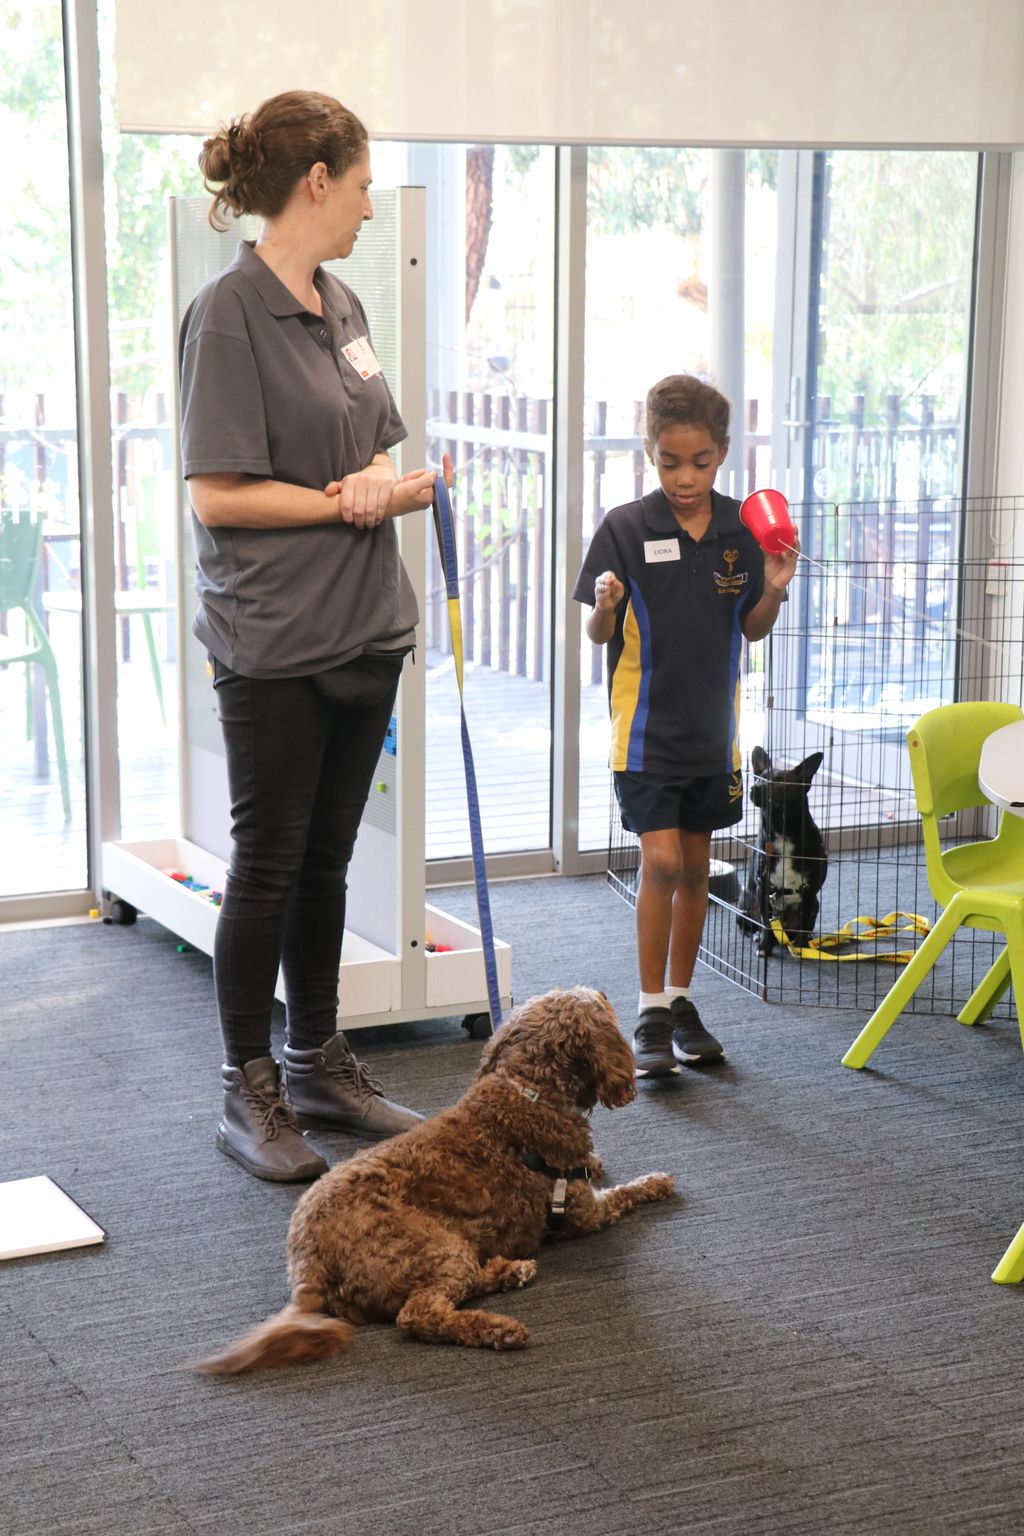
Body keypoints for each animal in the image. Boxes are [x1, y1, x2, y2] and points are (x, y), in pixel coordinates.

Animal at [191, 987, 675, 1373]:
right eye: (597, 1003)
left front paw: (597, 1161)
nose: (606, 995)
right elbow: (626, 1193)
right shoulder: (585, 1211)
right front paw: (657, 1181)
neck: (528, 1093)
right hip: (436, 1248)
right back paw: (500, 1328)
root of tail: (308, 1264)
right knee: (418, 1315)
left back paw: (507, 1270)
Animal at [737, 746, 827, 957]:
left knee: (803, 926)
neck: (782, 831)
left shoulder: (810, 891)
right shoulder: (763, 890)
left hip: (815, 904)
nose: (754, 788)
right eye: (758, 778)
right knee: (750, 926)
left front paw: (803, 947)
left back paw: (806, 937)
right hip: (744, 904)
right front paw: (764, 946)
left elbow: (803, 922)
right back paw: (756, 936)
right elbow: (766, 924)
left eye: (779, 781)